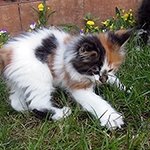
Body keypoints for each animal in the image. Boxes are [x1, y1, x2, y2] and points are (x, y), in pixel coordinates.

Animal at [0, 28, 131, 129]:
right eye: (95, 71)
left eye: (110, 69)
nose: (102, 81)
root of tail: (6, 53)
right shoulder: (78, 86)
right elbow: (97, 101)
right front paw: (112, 118)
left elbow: (114, 79)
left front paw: (126, 89)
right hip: (39, 76)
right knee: (37, 104)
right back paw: (62, 113)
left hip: (22, 79)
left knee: (15, 100)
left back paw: (23, 109)